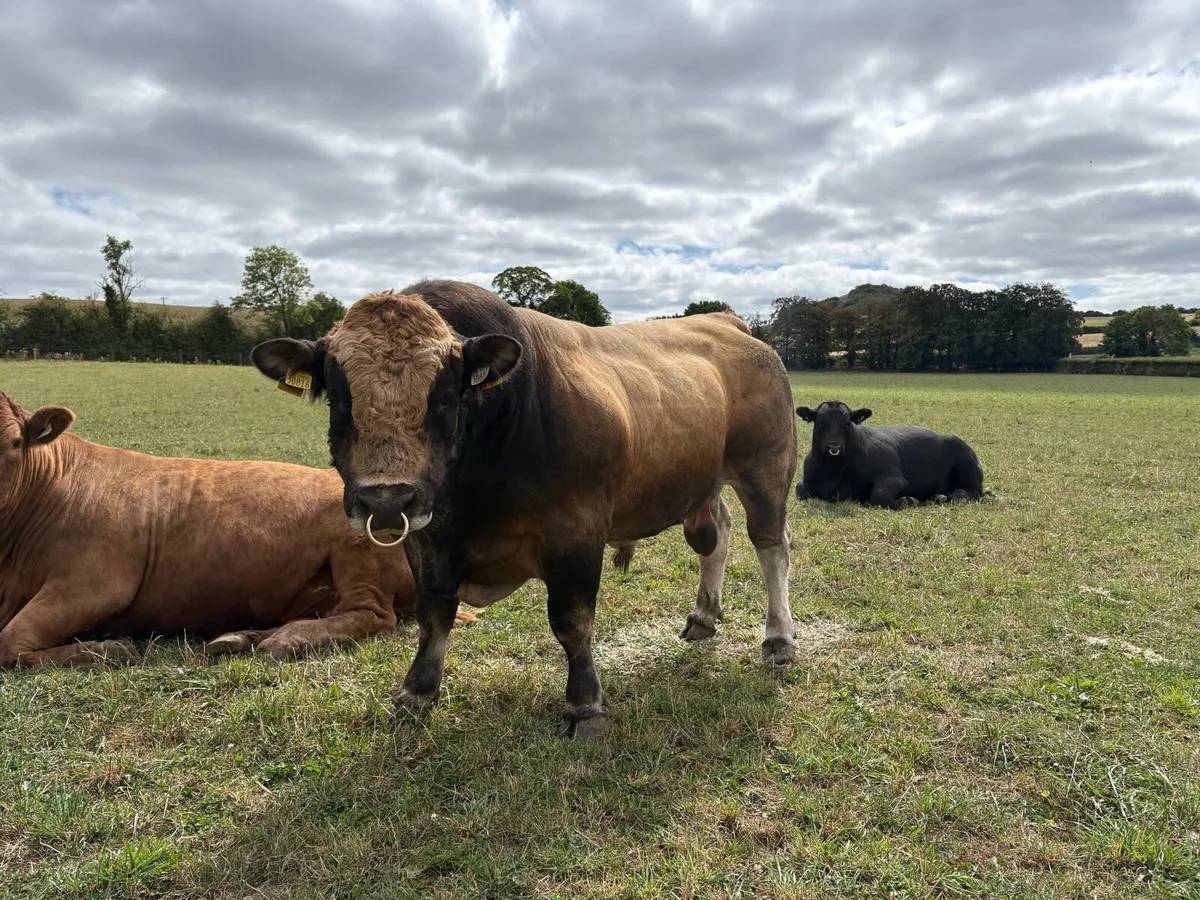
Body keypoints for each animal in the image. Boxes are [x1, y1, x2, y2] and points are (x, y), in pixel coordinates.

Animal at [0, 388, 473, 669]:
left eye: (15, 443)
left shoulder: (95, 583)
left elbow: (11, 642)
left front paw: (104, 649)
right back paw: (239, 637)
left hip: (357, 554)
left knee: (371, 614)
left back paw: (283, 640)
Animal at [251, 279, 798, 738]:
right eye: (338, 399)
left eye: (445, 397)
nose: (386, 499)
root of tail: (728, 320)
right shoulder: (423, 541)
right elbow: (432, 617)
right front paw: (417, 691)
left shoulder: (575, 533)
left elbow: (571, 622)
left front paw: (584, 705)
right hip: (704, 479)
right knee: (715, 535)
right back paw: (704, 615)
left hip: (766, 471)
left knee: (772, 546)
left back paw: (779, 638)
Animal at [794, 400, 986, 509]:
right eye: (820, 422)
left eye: (847, 423)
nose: (834, 447)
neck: (833, 473)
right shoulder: (805, 482)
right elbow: (799, 489)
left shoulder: (893, 476)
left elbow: (880, 495)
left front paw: (909, 500)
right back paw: (940, 496)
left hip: (967, 464)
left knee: (975, 491)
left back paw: (957, 496)